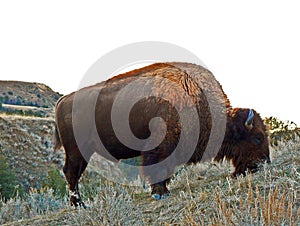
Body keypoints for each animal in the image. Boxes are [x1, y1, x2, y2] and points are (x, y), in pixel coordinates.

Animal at [54, 61, 270, 207]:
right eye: (257, 137)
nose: (264, 163)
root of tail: (63, 100)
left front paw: (163, 190)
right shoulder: (160, 147)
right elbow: (157, 167)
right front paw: (160, 193)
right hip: (77, 150)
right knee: (71, 173)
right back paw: (79, 205)